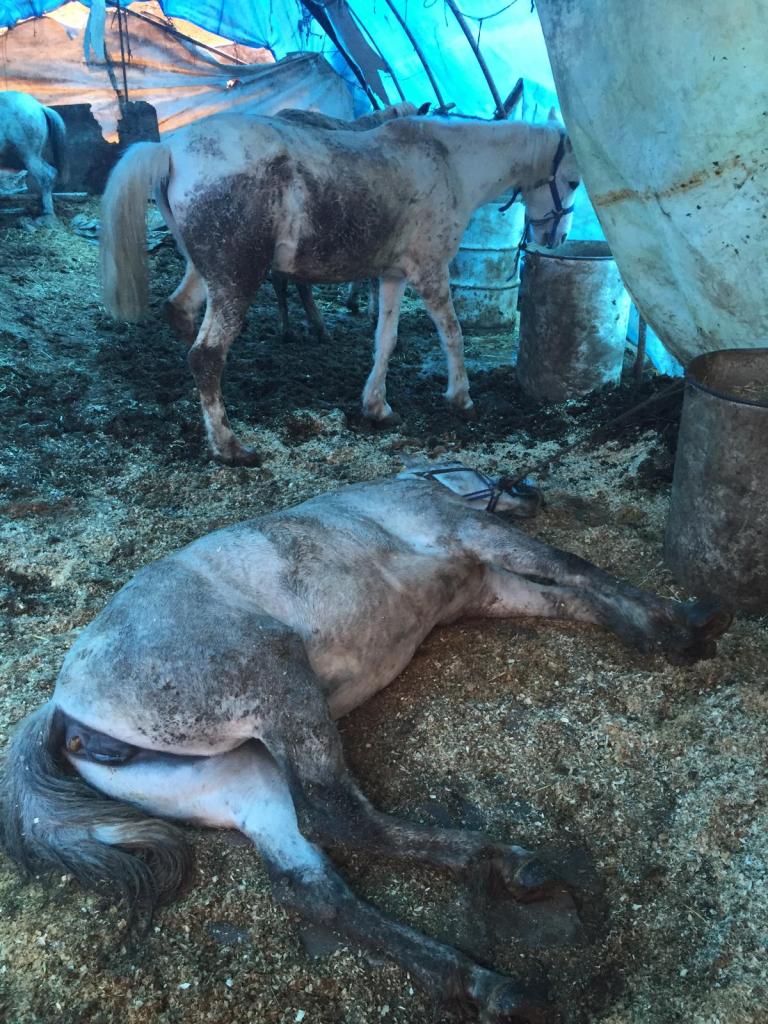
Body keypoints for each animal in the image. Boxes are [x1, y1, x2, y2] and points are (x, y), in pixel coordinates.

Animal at [0, 464, 731, 1022]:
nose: (531, 488)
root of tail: (64, 709)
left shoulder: (489, 588)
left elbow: (572, 596)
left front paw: (655, 629)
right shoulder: (473, 532)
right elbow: (571, 566)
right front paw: (685, 621)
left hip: (241, 778)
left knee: (313, 883)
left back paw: (486, 967)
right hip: (274, 676)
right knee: (335, 813)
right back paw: (498, 882)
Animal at [99, 112, 581, 465]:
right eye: (573, 181)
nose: (555, 239)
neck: (449, 161)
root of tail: (170, 149)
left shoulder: (392, 276)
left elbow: (386, 340)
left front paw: (377, 407)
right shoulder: (429, 273)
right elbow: (453, 335)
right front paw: (460, 397)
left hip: (207, 273)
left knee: (182, 316)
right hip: (237, 280)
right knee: (206, 355)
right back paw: (230, 447)